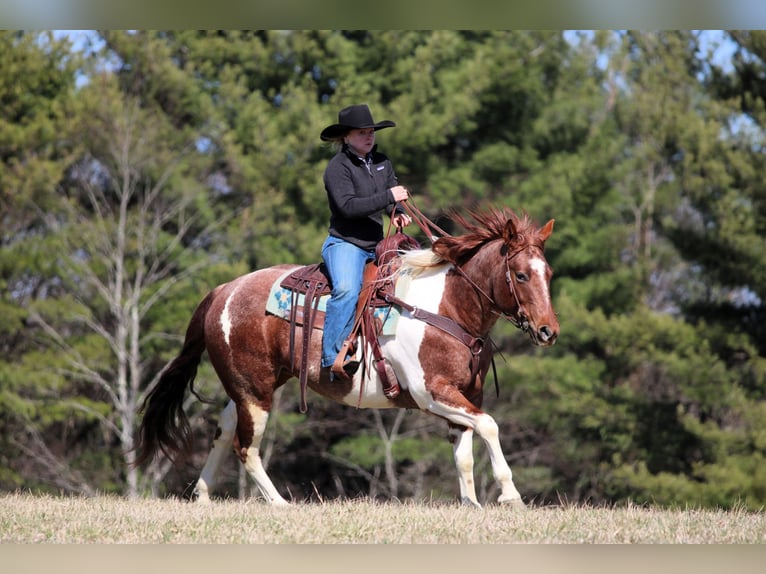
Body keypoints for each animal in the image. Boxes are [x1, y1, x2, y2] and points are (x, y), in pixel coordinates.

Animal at [134, 206, 558, 508]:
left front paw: (471, 504)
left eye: (548, 273)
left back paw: (203, 494)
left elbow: (464, 453)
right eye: (521, 275)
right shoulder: (431, 393)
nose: (548, 331)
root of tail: (222, 291)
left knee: (223, 429)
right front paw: (510, 495)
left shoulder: (465, 395)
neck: (447, 306)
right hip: (256, 393)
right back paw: (280, 504)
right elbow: (489, 426)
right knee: (246, 447)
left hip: (248, 387)